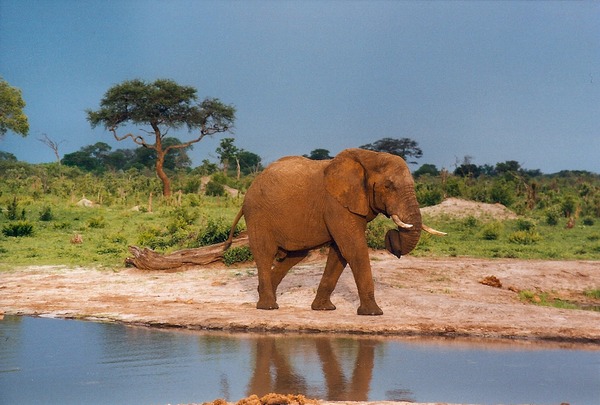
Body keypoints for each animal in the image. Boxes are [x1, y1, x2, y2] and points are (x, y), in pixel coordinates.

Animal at [226, 148, 446, 316]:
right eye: (388, 186)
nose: (392, 236)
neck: (370, 157)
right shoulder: (336, 204)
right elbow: (353, 248)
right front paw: (373, 313)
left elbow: (340, 253)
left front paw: (324, 309)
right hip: (257, 213)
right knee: (265, 253)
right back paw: (268, 307)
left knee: (296, 255)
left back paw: (263, 294)